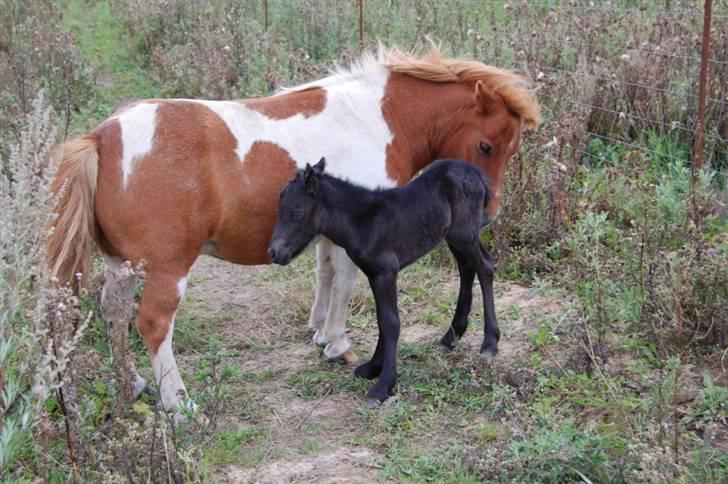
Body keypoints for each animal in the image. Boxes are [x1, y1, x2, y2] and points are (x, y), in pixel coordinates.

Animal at [268, 158, 500, 404]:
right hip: (454, 236)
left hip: (464, 233)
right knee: (467, 268)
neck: (362, 222)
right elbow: (382, 319)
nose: (274, 253)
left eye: (296, 212)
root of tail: (475, 172)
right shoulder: (374, 274)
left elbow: (390, 323)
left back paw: (490, 342)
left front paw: (383, 386)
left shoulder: (386, 272)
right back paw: (451, 337)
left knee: (485, 266)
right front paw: (373, 367)